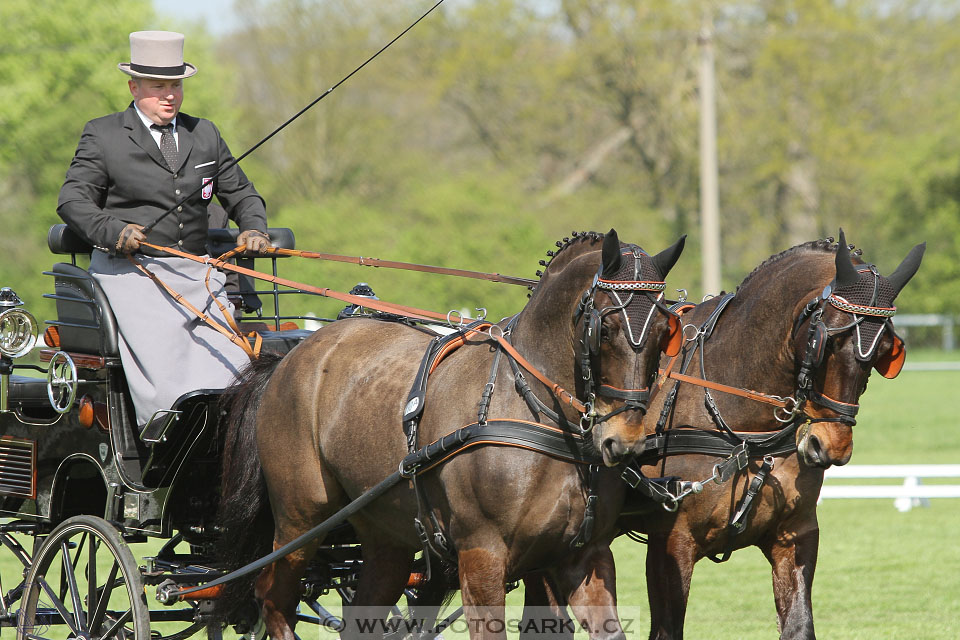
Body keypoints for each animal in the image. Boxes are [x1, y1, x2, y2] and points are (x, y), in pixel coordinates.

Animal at [216, 231, 688, 640]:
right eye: (603, 329)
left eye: (666, 334)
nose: (624, 439)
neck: (539, 414)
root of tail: (291, 356)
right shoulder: (481, 557)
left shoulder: (584, 557)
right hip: (301, 520)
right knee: (272, 599)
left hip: (385, 535)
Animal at [620, 232, 928, 636]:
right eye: (826, 342)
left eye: (885, 351)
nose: (831, 446)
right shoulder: (670, 542)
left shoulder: (794, 536)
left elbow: (799, 625)